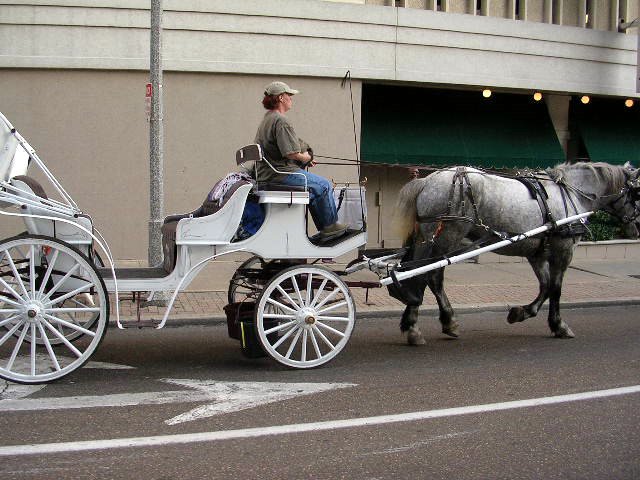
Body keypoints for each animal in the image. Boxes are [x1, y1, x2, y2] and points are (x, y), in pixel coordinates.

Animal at [390, 162, 640, 345]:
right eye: (637, 192)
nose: (637, 223)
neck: (571, 193)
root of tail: (426, 181)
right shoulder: (563, 249)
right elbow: (556, 288)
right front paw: (558, 325)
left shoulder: (537, 253)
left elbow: (545, 286)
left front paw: (521, 312)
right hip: (447, 236)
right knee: (430, 275)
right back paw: (444, 322)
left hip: (427, 238)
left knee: (414, 273)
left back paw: (413, 325)